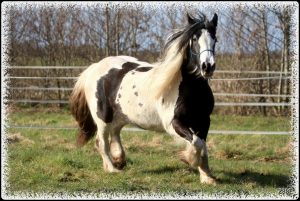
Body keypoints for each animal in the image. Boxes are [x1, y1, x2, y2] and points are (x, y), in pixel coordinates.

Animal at [70, 12, 218, 185]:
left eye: (215, 39)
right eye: (194, 39)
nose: (207, 66)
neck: (190, 88)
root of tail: (94, 67)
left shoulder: (204, 121)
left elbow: (202, 146)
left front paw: (207, 176)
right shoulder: (173, 124)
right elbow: (196, 143)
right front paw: (188, 159)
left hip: (120, 116)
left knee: (115, 133)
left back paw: (119, 160)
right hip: (102, 119)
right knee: (101, 143)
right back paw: (112, 169)